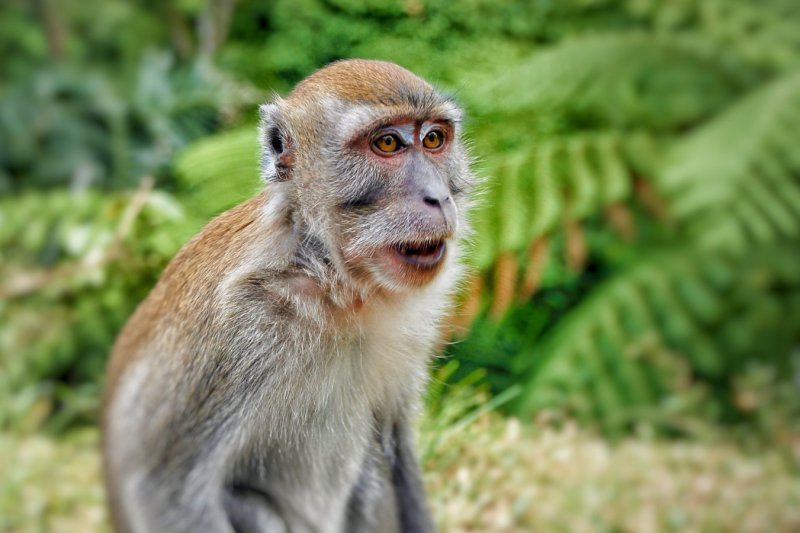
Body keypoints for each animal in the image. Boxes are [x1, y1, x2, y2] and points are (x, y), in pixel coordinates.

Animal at [102, 59, 475, 533]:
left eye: (433, 140)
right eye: (388, 143)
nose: (438, 196)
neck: (333, 280)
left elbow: (396, 443)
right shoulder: (240, 326)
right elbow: (165, 486)